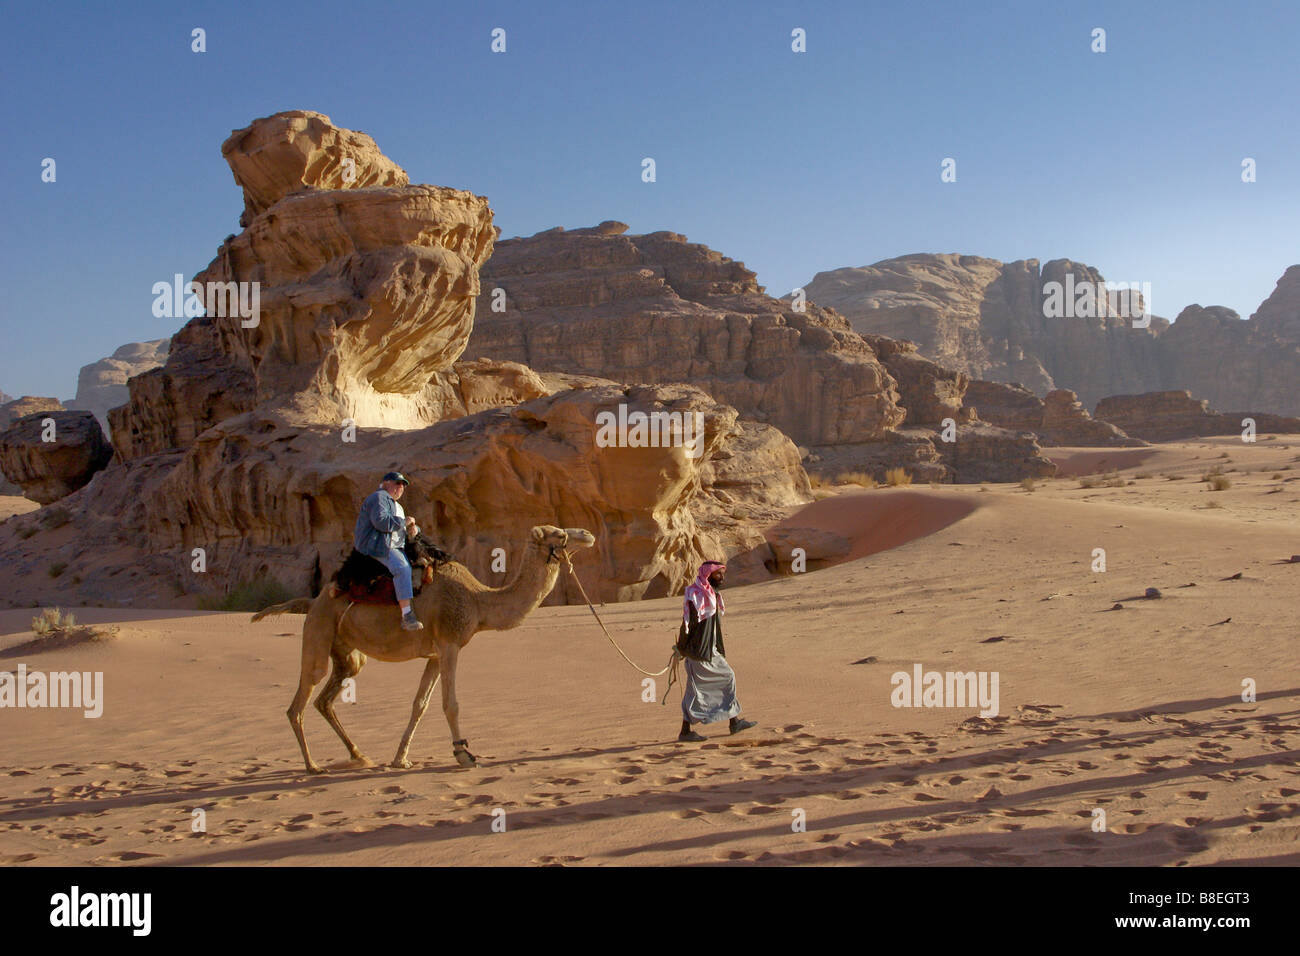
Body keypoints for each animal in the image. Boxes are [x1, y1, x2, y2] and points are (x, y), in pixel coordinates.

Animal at [256, 524, 595, 774]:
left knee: (324, 700)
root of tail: (312, 601)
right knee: (299, 701)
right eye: (559, 534)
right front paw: (464, 755)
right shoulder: (450, 644)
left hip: (348, 654)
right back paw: (313, 766)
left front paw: (400, 758)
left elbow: (420, 704)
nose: (587, 534)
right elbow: (450, 703)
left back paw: (359, 755)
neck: (478, 602)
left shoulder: (434, 654)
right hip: (318, 632)